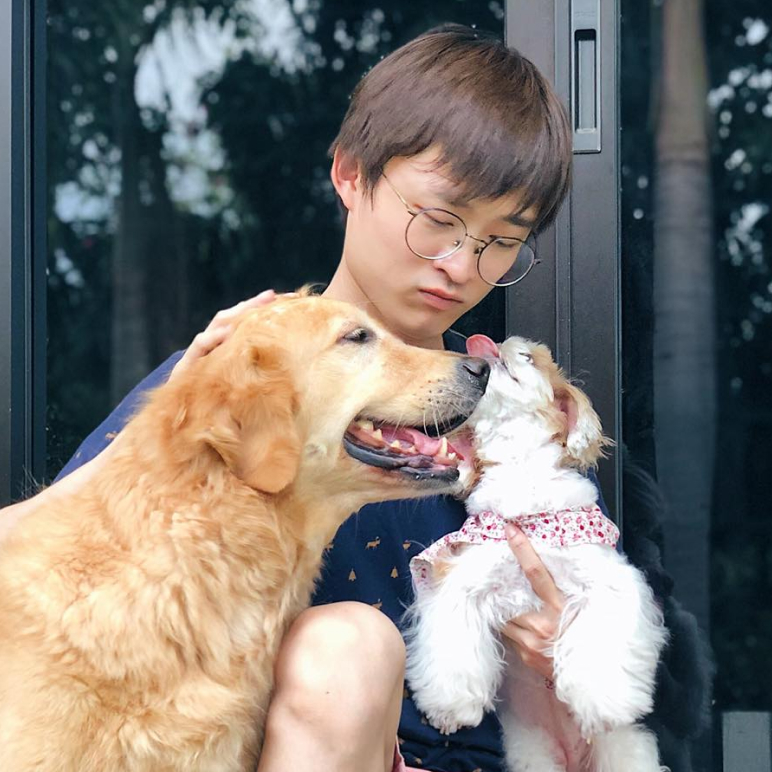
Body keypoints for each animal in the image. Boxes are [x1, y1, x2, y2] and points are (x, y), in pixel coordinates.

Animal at [404, 334, 668, 772]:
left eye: (528, 358)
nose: (494, 342)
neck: (524, 489)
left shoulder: (609, 579)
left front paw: (603, 701)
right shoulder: (463, 581)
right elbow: (453, 645)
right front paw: (451, 708)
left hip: (626, 752)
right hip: (533, 753)